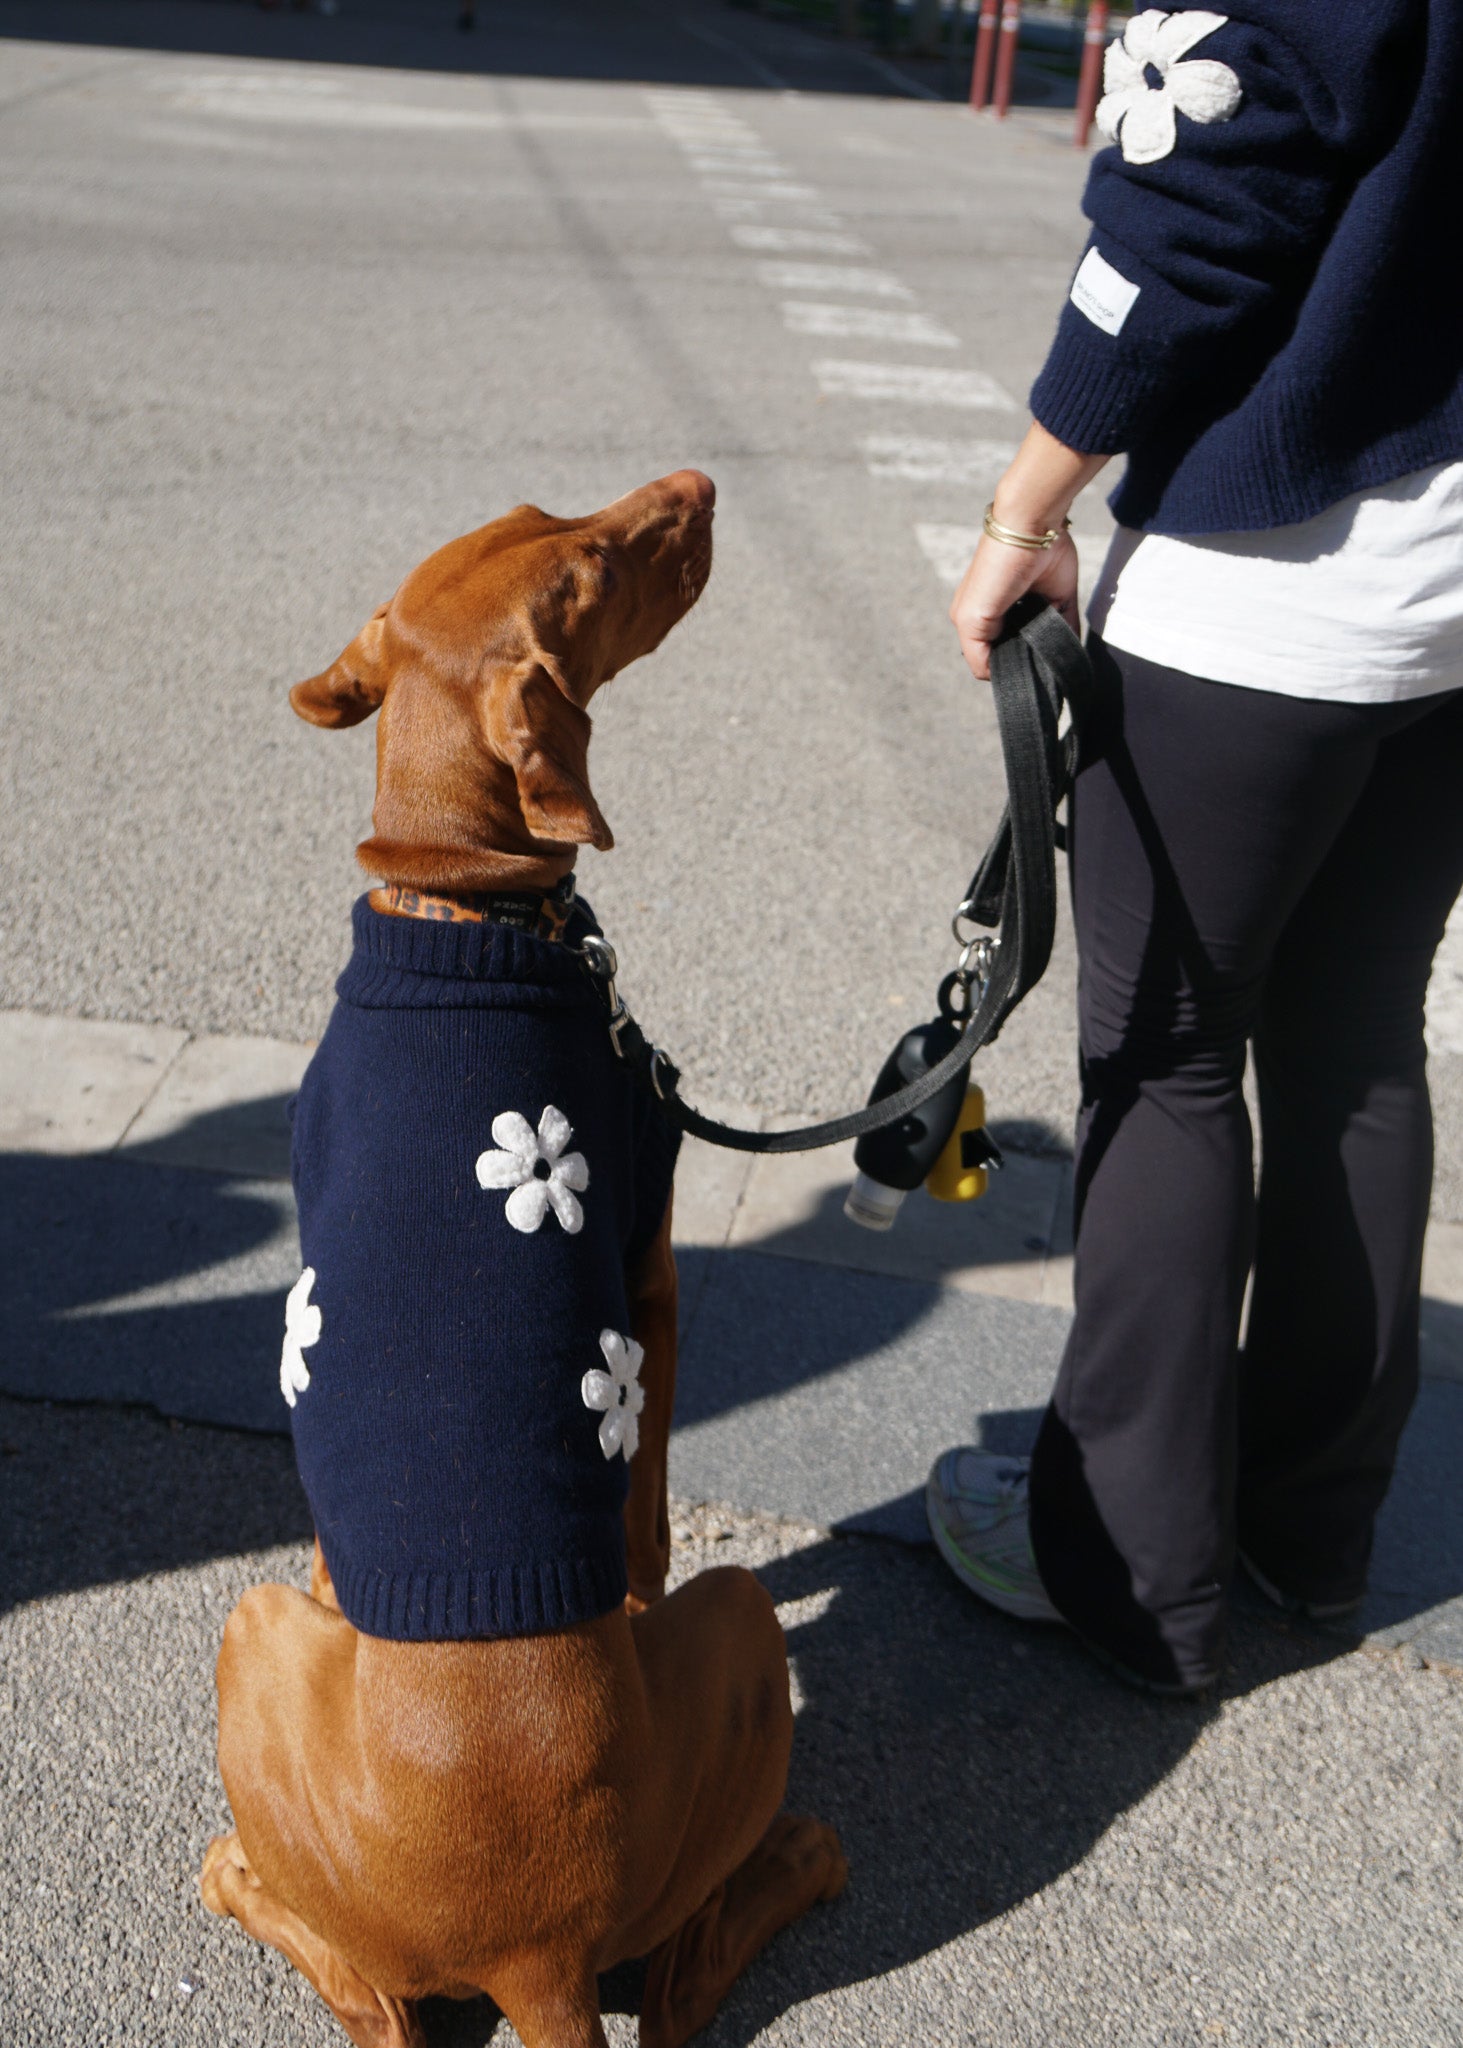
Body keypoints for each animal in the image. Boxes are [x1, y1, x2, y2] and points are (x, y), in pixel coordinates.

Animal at [199, 471, 848, 2048]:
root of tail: (532, 1953)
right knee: (666, 1979)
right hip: (722, 1621)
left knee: (384, 2000)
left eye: (542, 512)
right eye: (594, 568)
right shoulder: (650, 1273)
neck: (456, 908)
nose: (697, 484)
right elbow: (650, 1524)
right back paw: (799, 1856)